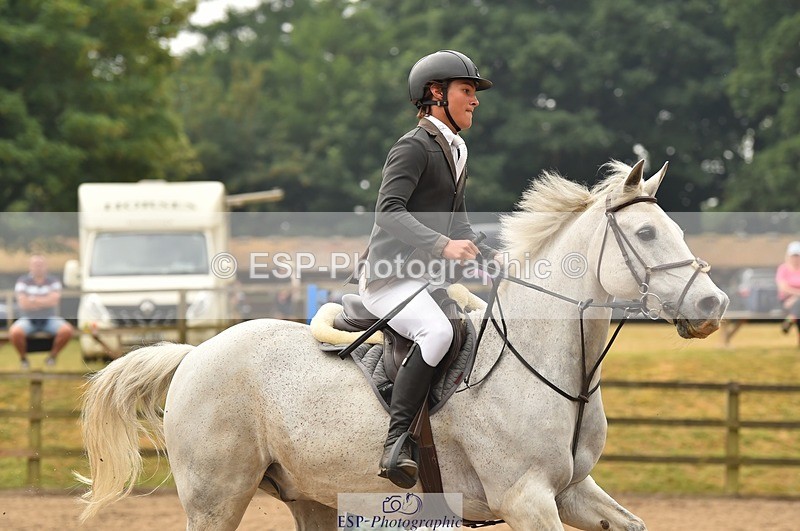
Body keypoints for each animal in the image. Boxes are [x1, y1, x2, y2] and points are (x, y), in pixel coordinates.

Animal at [77, 160, 728, 530]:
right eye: (645, 232)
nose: (711, 306)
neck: (547, 365)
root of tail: (196, 354)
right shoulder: (525, 498)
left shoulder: (572, 491)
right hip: (216, 498)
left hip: (310, 495)